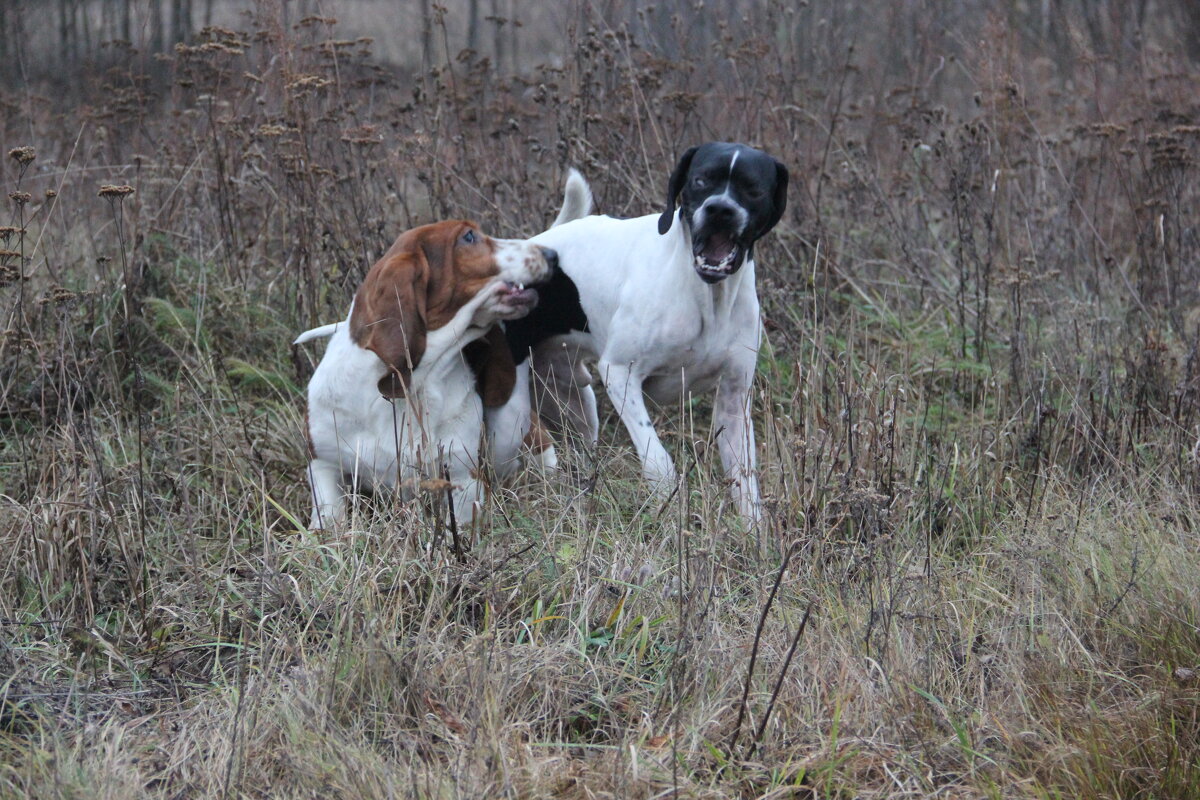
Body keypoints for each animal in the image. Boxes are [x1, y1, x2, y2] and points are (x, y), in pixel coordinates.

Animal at [292, 220, 554, 532]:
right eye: (468, 236)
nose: (552, 254)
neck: (415, 383)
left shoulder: (463, 478)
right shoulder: (323, 464)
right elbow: (329, 520)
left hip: (511, 428)